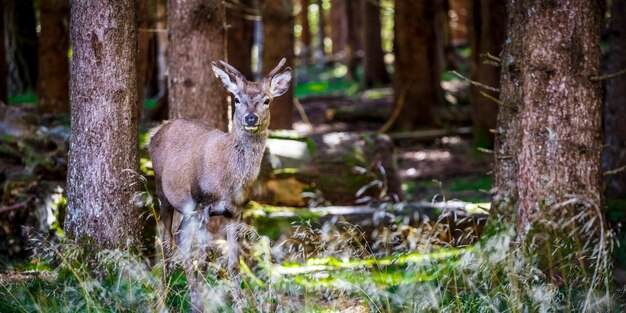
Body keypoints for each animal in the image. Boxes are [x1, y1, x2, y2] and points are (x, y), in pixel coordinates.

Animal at [148, 58, 290, 310]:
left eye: (267, 100)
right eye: (237, 99)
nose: (250, 118)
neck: (228, 182)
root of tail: (155, 132)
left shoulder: (235, 211)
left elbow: (233, 262)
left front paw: (240, 306)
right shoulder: (203, 203)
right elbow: (204, 260)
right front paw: (203, 305)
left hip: (188, 210)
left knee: (181, 242)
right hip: (164, 193)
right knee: (166, 244)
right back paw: (164, 300)